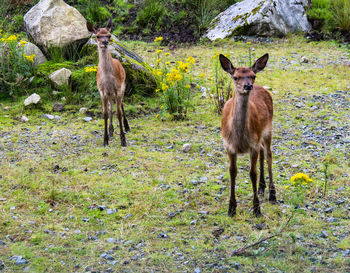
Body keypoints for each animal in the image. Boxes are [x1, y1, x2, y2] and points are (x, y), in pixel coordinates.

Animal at [87, 18, 130, 147]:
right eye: (97, 36)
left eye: (109, 35)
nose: (105, 42)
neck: (108, 81)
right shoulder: (102, 91)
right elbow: (105, 113)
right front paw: (105, 140)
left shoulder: (118, 89)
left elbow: (119, 113)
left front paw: (123, 140)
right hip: (111, 95)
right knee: (111, 106)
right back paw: (111, 131)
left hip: (123, 86)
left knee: (121, 105)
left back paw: (127, 127)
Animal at [220, 52, 278, 215]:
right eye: (235, 77)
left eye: (253, 75)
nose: (248, 86)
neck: (239, 138)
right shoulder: (228, 146)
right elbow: (232, 172)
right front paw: (231, 208)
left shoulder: (253, 144)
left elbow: (253, 174)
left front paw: (257, 209)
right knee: (263, 151)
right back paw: (261, 187)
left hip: (268, 129)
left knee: (269, 154)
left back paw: (272, 194)